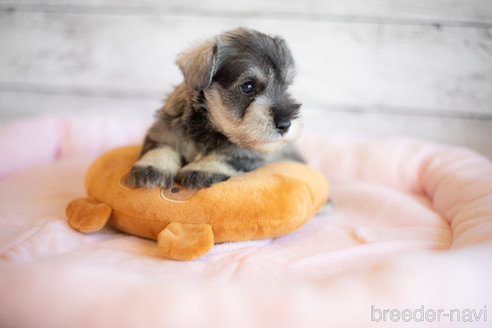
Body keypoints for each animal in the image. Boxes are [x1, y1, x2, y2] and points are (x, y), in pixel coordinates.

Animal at [127, 28, 304, 190]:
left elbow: (228, 156)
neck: (206, 127)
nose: (285, 125)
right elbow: (162, 147)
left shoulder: (250, 154)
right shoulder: (164, 131)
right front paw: (152, 166)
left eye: (286, 86)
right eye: (248, 86)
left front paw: (204, 169)